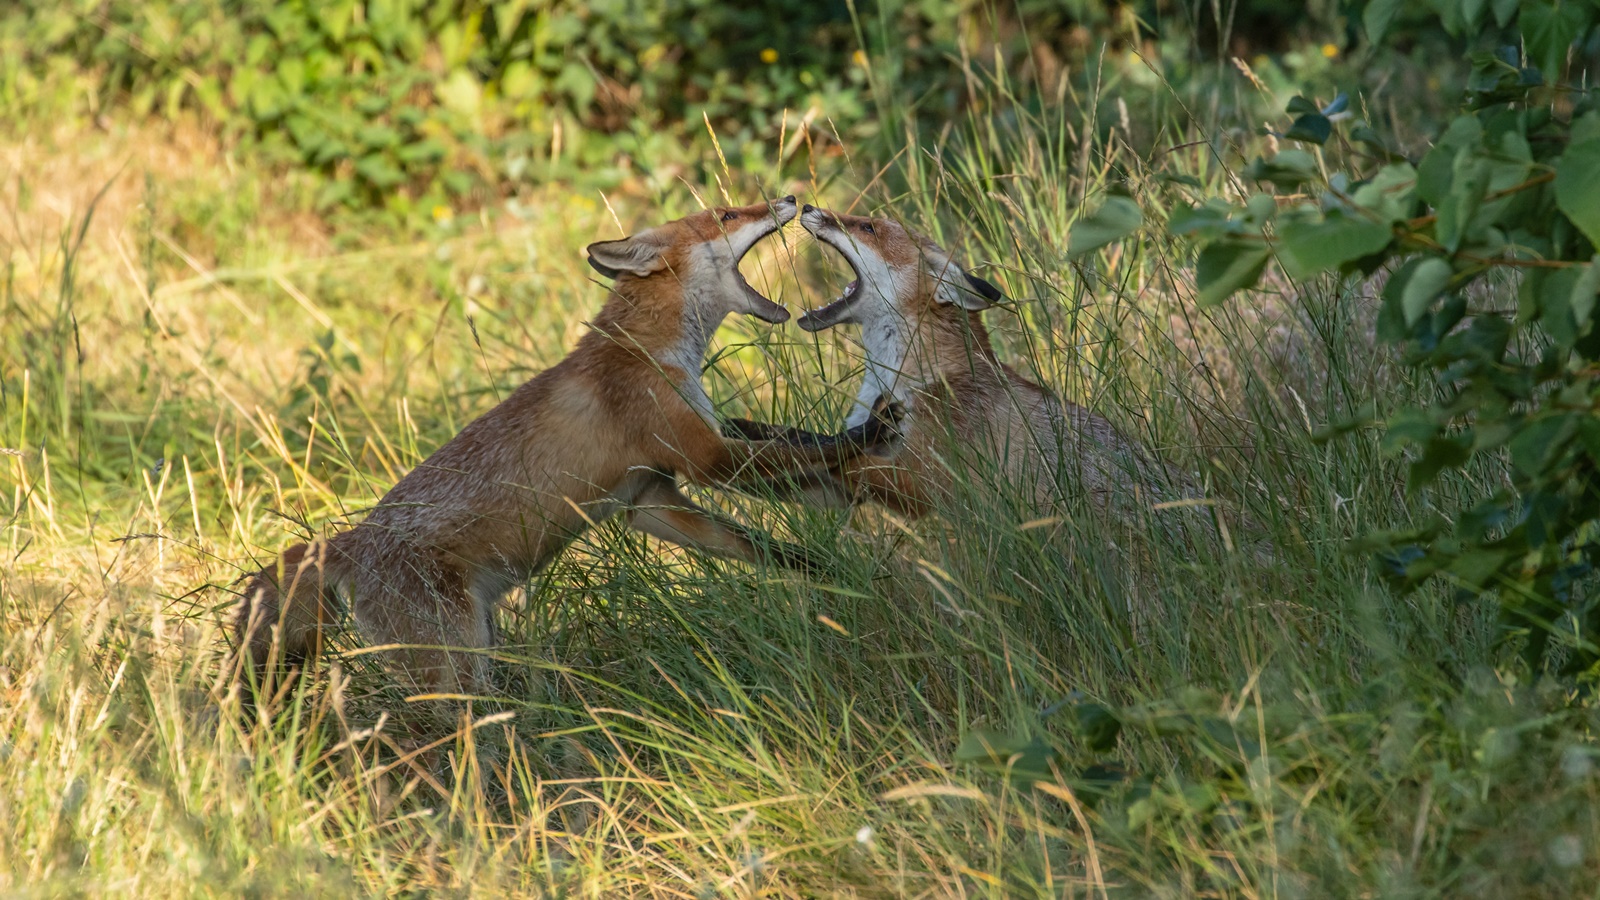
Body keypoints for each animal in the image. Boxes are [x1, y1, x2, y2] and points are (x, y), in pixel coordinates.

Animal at [233, 196, 889, 701]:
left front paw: (833, 571)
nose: (791, 199)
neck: (646, 351)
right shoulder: (703, 456)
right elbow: (802, 455)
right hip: (453, 672)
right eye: (726, 213)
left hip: (479, 646)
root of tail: (348, 542)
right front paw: (865, 434)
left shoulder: (648, 496)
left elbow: (765, 540)